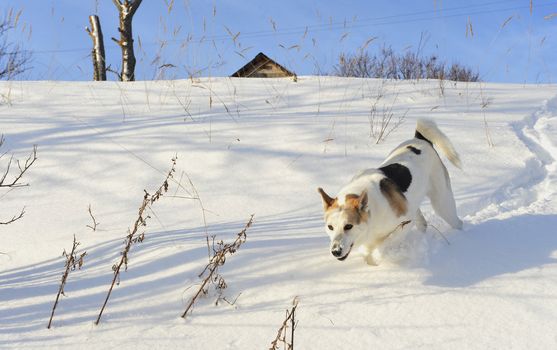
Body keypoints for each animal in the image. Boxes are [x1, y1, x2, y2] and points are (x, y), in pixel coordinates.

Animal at [318, 119, 460, 264]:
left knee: (457, 222)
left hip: (442, 204)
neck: (372, 211)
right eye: (330, 227)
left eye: (348, 226)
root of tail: (420, 139)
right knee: (423, 224)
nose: (335, 251)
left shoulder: (405, 223)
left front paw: (379, 257)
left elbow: (383, 244)